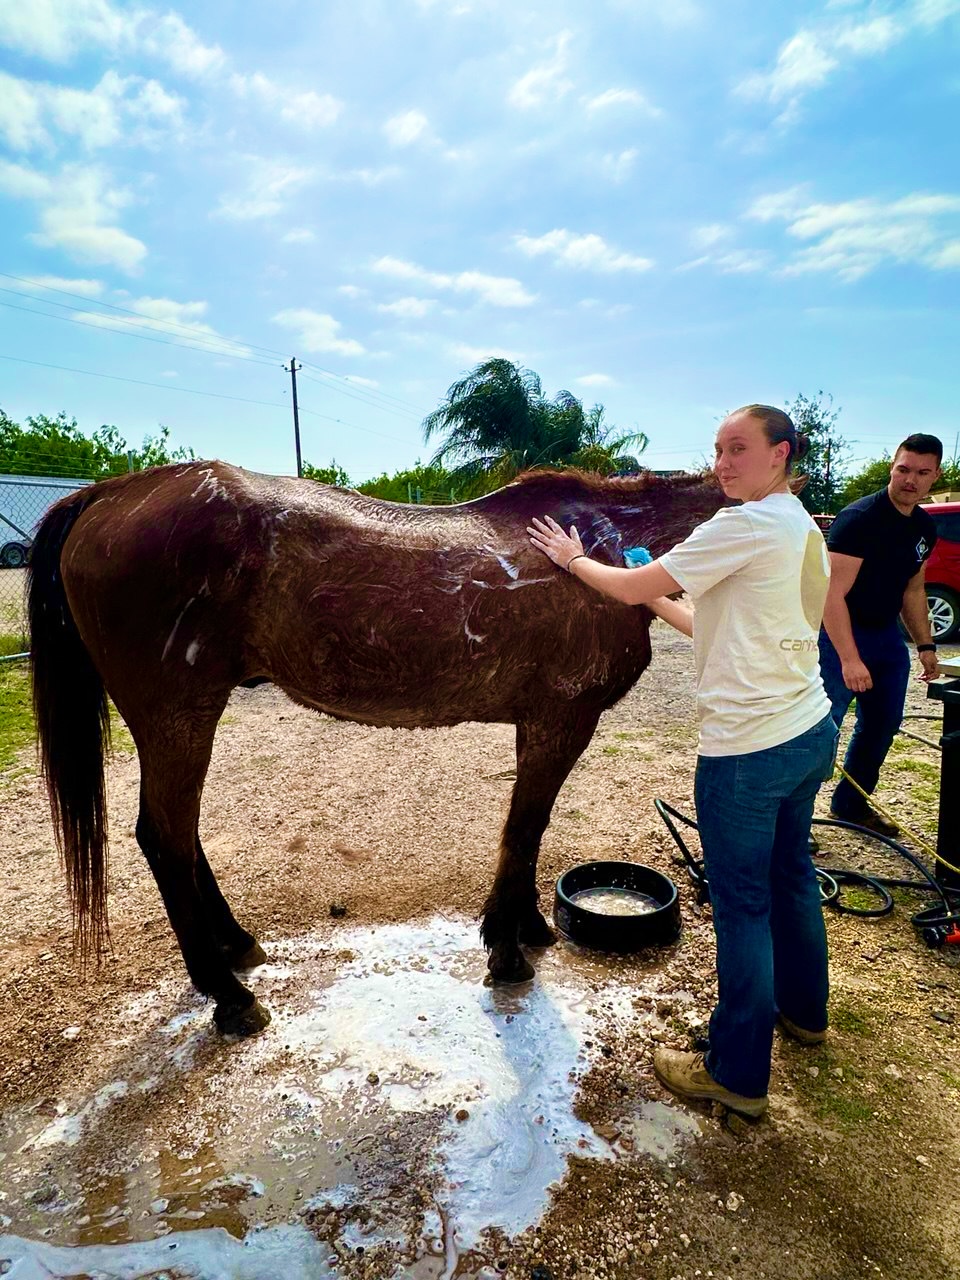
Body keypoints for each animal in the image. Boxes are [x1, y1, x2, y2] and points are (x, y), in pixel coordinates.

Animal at [28, 460, 725, 1036]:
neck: (606, 547)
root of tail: (112, 492)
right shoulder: (564, 719)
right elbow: (525, 828)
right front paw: (506, 951)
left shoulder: (539, 723)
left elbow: (527, 828)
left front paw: (528, 927)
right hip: (179, 716)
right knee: (165, 836)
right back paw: (230, 998)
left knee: (180, 832)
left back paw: (238, 946)